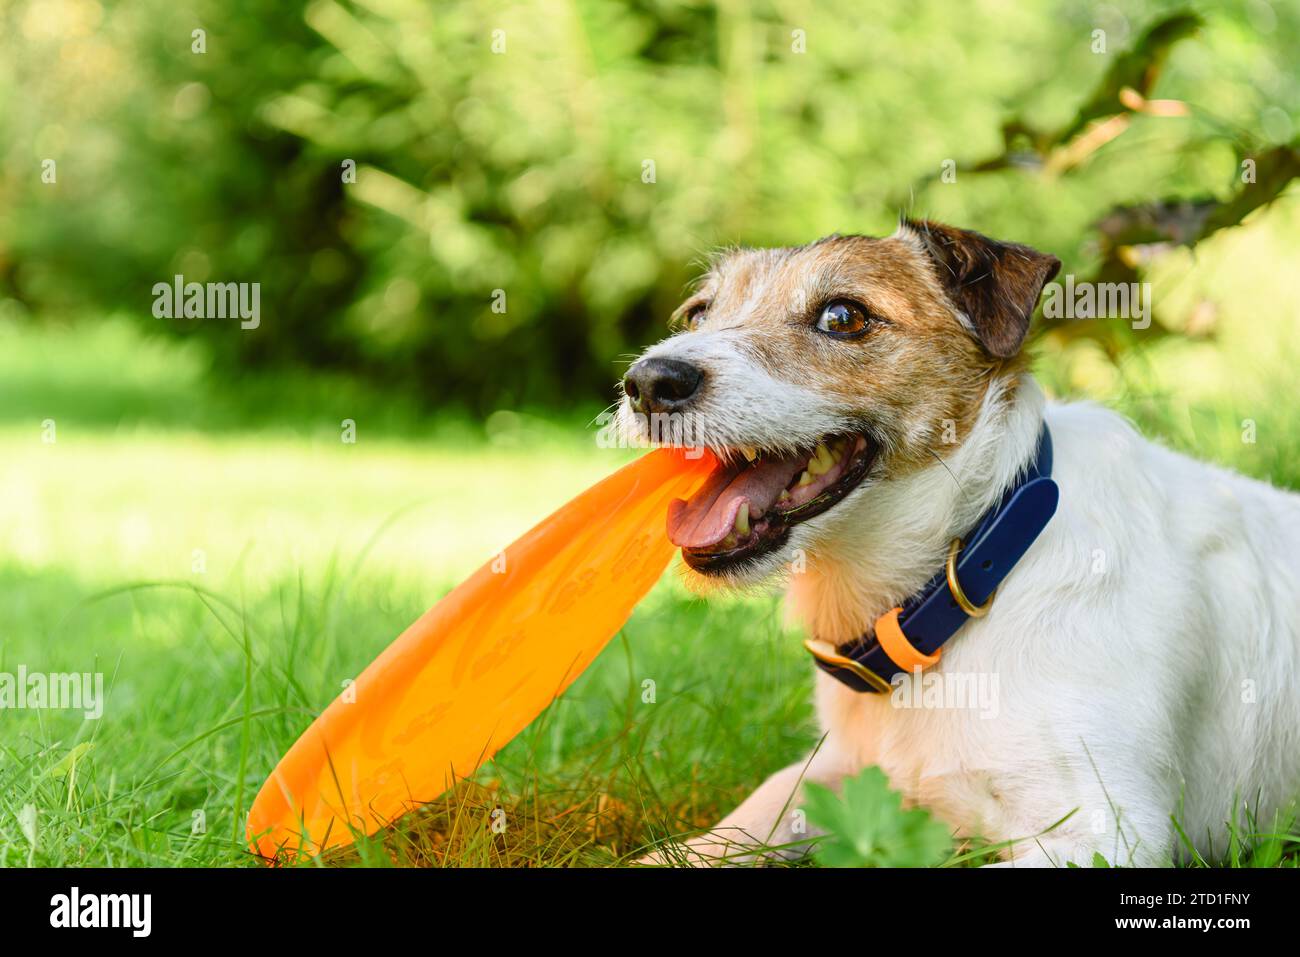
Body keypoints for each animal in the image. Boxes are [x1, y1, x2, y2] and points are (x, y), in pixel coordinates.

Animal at [616, 221, 1300, 863]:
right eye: (698, 313)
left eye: (842, 317)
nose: (649, 381)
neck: (972, 562)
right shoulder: (833, 775)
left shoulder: (1108, 834)